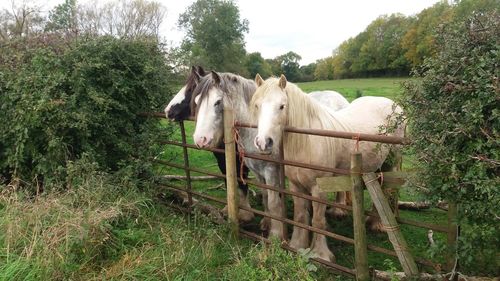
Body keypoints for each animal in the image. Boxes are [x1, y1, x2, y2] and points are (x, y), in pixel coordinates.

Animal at [191, 71, 352, 237]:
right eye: (196, 101)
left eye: (217, 102)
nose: (200, 139)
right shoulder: (258, 173)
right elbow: (266, 197)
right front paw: (266, 223)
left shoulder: (271, 171)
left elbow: (273, 202)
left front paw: (276, 233)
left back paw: (338, 210)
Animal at [252, 74, 404, 260]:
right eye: (257, 105)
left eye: (282, 106)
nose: (263, 142)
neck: (307, 140)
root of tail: (393, 104)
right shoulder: (296, 186)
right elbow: (300, 216)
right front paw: (298, 246)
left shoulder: (319, 189)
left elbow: (317, 221)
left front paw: (321, 254)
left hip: (391, 163)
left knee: (387, 190)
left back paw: (378, 225)